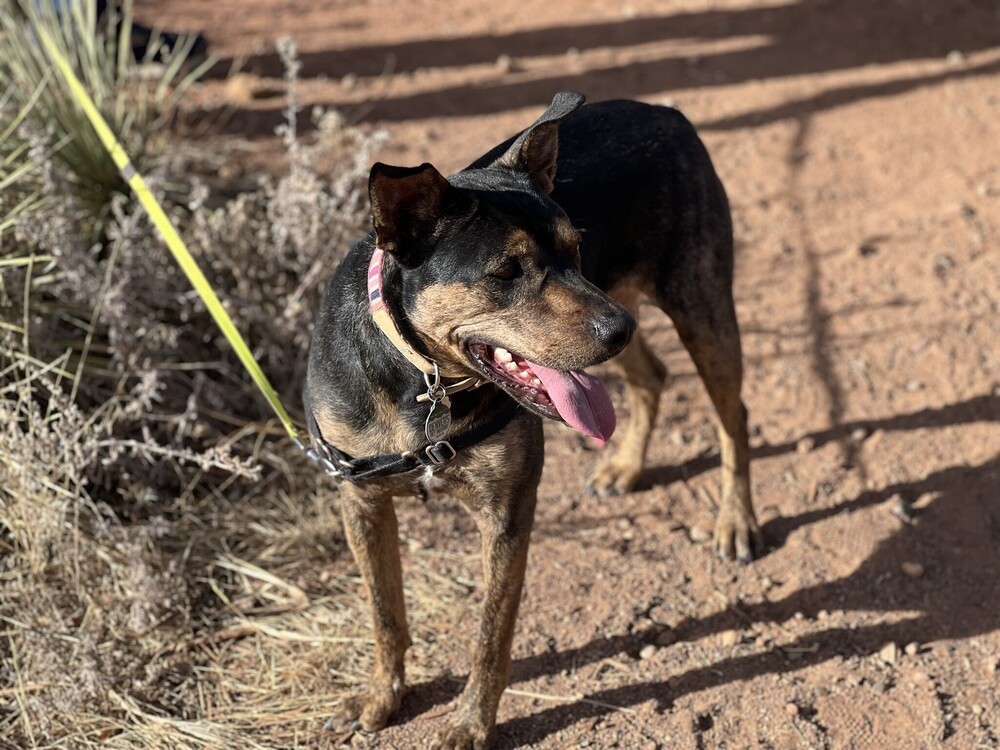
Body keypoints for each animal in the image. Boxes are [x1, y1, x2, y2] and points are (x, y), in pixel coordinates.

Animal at [302, 94, 756, 750]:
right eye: (507, 271)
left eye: (574, 245)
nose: (618, 329)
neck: (424, 380)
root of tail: (662, 109)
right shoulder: (361, 500)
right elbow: (384, 612)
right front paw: (381, 695)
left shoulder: (507, 514)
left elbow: (491, 635)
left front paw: (470, 724)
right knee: (650, 377)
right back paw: (625, 465)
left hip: (695, 304)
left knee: (732, 415)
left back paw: (737, 519)